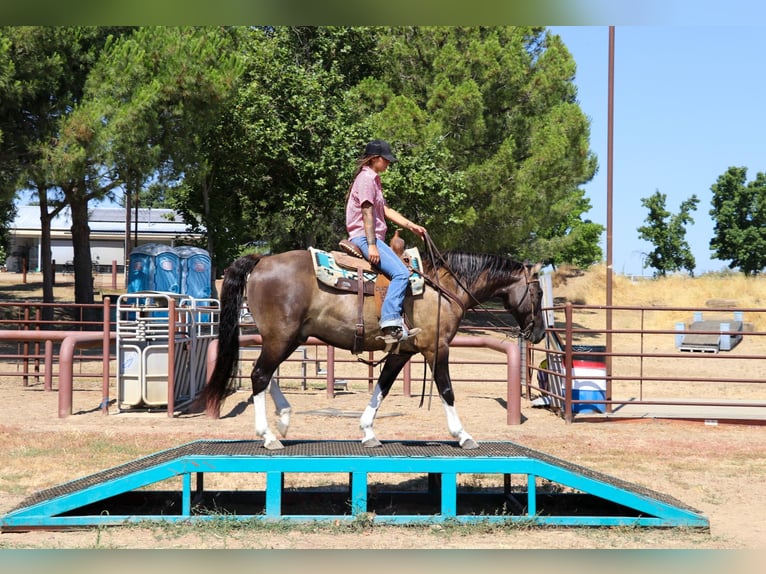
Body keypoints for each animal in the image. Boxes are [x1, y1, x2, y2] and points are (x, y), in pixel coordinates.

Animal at [201, 248, 548, 450]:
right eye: (539, 292)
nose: (540, 333)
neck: (444, 287)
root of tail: (262, 260)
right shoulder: (437, 349)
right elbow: (447, 390)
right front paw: (462, 435)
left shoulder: (402, 352)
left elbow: (382, 386)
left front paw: (368, 431)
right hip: (280, 338)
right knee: (259, 375)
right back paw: (269, 436)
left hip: (285, 339)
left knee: (265, 375)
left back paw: (284, 419)